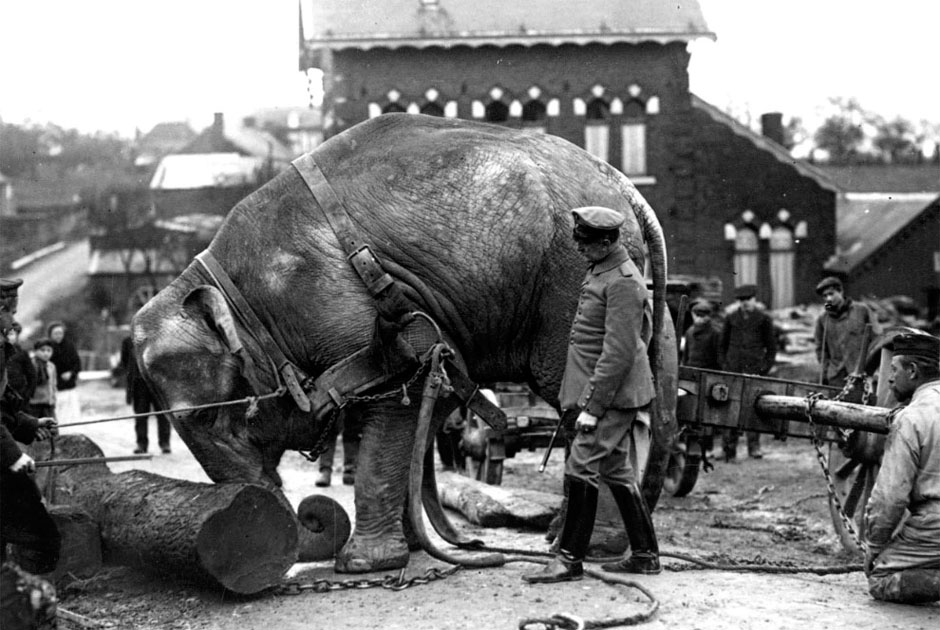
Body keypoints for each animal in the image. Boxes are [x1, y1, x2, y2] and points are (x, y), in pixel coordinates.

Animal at [134, 113, 676, 576]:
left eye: (204, 418)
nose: (309, 517)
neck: (229, 288)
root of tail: (626, 189)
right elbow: (421, 413)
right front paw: (413, 550)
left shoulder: (355, 312)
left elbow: (402, 400)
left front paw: (362, 565)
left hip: (568, 283)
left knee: (581, 398)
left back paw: (587, 547)